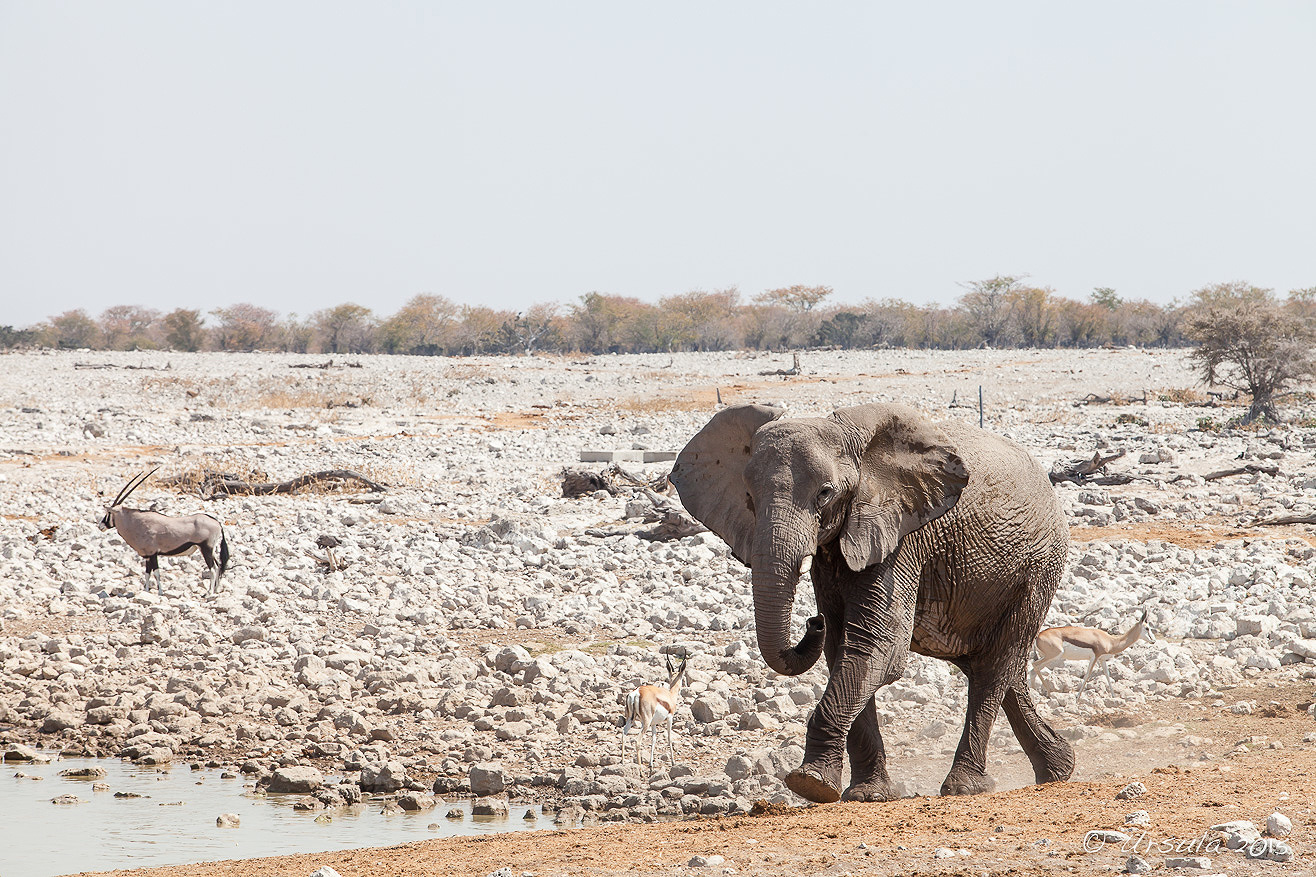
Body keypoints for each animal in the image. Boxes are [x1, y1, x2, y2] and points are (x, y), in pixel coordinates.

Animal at [673, 400, 1073, 800]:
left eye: (825, 493)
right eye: (749, 497)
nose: (812, 622)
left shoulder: (900, 535)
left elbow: (878, 645)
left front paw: (810, 784)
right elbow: (841, 646)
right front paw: (864, 793)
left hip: (1037, 569)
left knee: (994, 668)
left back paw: (965, 786)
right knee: (1001, 667)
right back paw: (1058, 769)